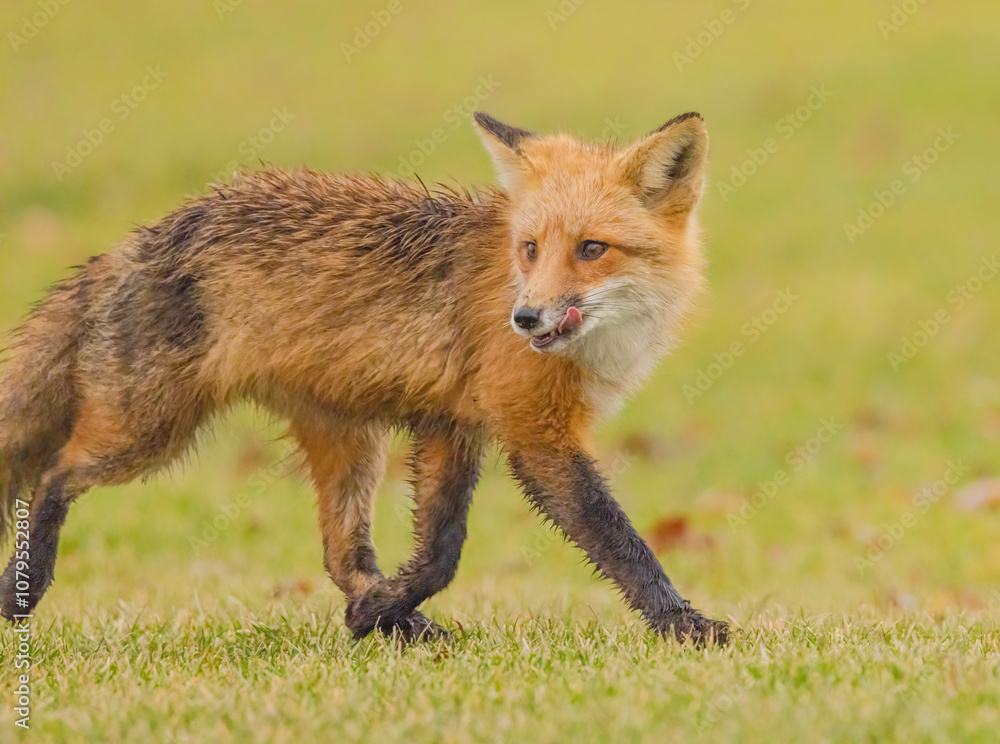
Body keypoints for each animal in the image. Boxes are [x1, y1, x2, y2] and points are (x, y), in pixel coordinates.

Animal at [0, 111, 728, 645]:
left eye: (592, 249)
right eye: (530, 249)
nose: (525, 317)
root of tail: (145, 236)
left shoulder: (453, 425)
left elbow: (439, 551)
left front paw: (377, 612)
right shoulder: (533, 433)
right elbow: (619, 542)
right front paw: (685, 625)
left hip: (350, 445)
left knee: (341, 555)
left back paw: (394, 622)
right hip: (148, 431)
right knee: (53, 476)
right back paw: (23, 585)